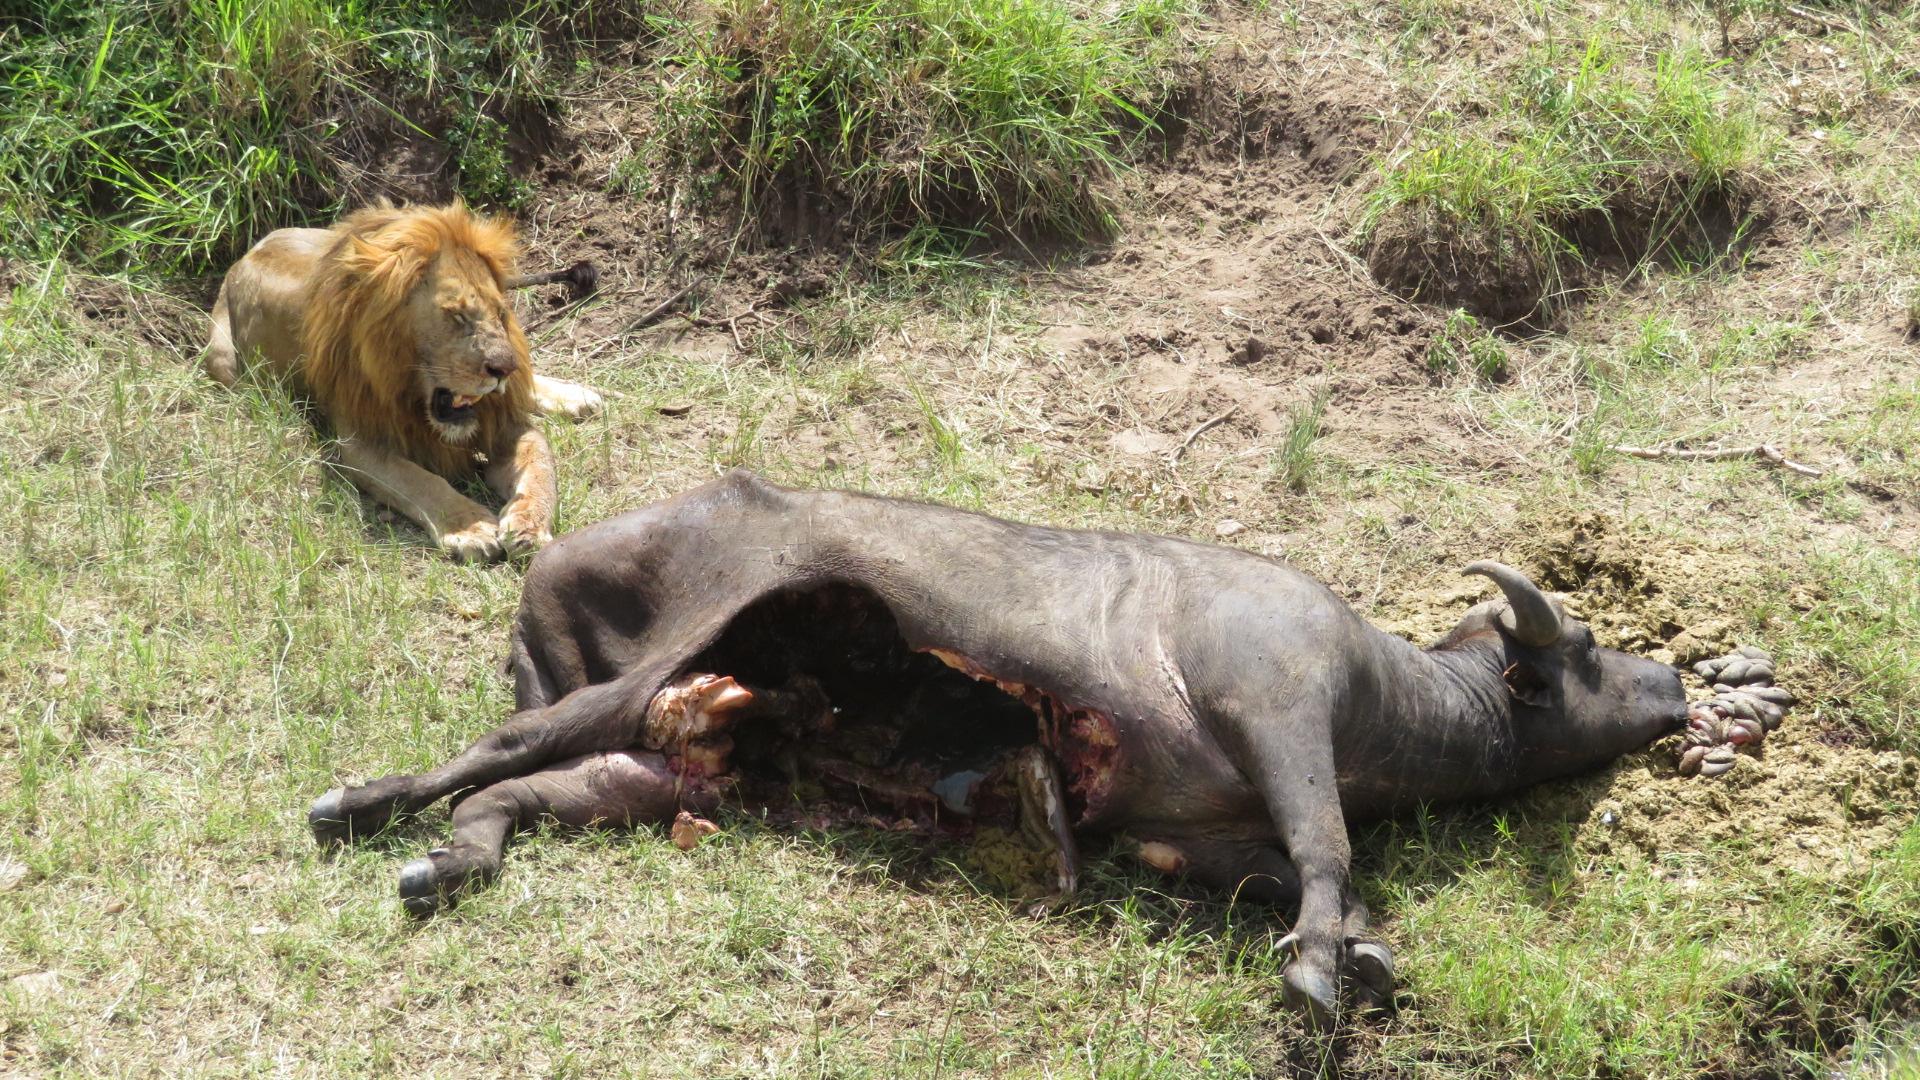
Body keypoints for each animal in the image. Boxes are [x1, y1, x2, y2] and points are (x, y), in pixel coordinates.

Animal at [202, 199, 599, 564]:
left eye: (501, 314)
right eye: (457, 316)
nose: (505, 369)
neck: (411, 393)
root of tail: (251, 250)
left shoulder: (504, 424)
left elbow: (540, 463)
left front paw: (530, 524)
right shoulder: (359, 442)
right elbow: (421, 481)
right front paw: (468, 527)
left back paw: (578, 397)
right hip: (221, 358)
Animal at [311, 470, 1766, 1022]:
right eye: (1588, 651)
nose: (1675, 685)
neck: (1388, 699)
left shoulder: (1194, 841)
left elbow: (1292, 871)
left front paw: (1348, 946)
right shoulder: (1281, 700)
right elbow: (1330, 847)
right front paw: (1321, 964)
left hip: (674, 760)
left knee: (538, 788)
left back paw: (451, 863)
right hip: (663, 660)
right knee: (503, 738)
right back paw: (362, 807)